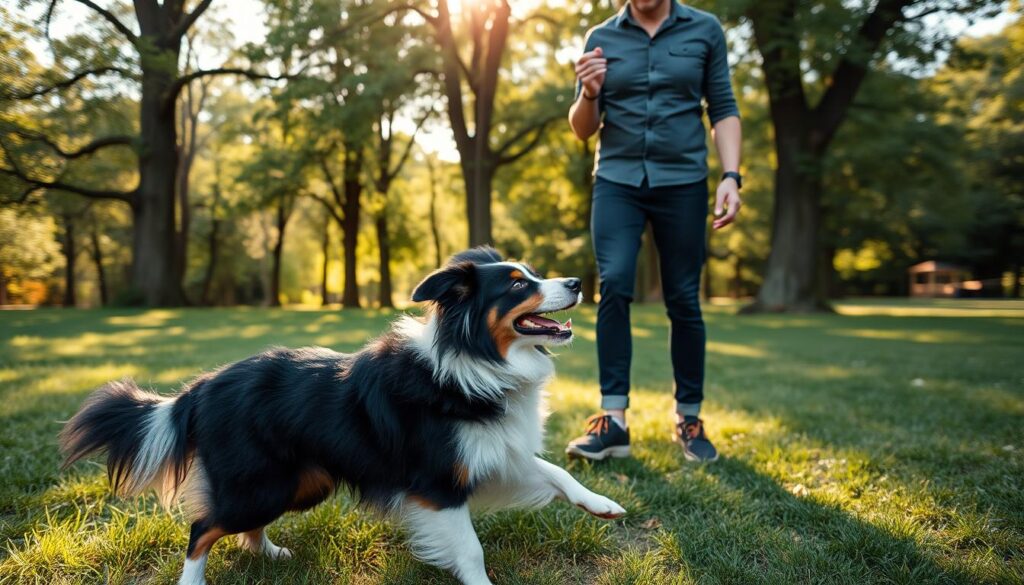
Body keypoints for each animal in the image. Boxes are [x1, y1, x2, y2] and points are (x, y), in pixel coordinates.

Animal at [61, 249, 630, 585]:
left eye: (532, 274)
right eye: (517, 285)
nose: (578, 281)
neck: (476, 358)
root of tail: (200, 389)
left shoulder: (491, 454)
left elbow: (552, 472)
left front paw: (601, 504)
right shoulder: (437, 483)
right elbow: (469, 550)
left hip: (300, 483)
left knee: (239, 528)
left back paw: (270, 555)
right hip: (260, 485)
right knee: (202, 527)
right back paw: (194, 580)